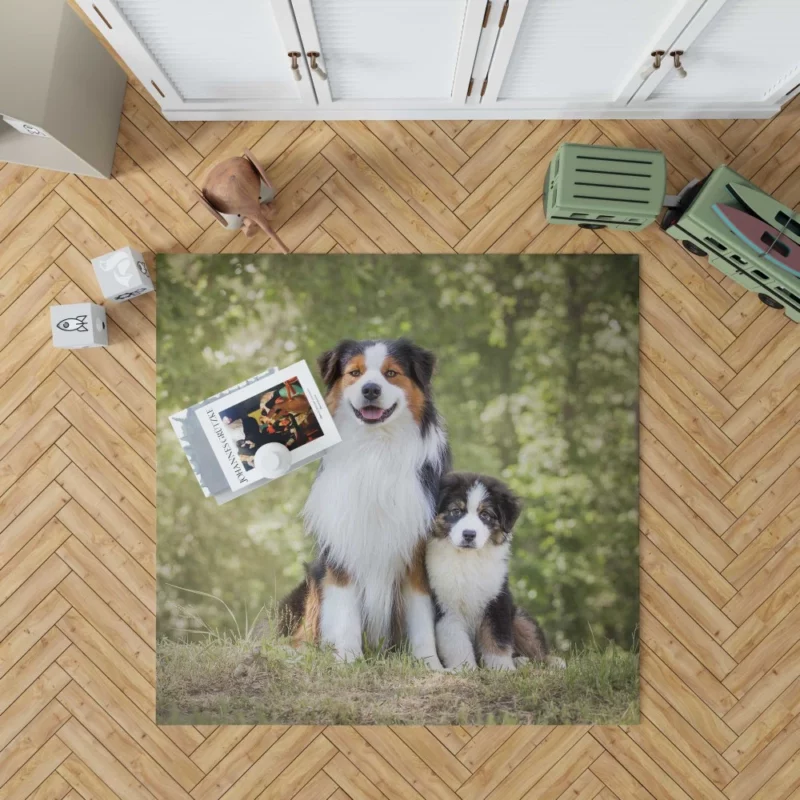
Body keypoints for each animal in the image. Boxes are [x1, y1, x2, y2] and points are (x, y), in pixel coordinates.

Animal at [280, 340, 450, 668]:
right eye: (355, 373)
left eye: (391, 373)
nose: (370, 389)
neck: (375, 448)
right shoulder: (342, 545)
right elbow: (346, 610)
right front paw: (347, 658)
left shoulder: (415, 550)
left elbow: (421, 617)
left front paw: (429, 665)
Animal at [428, 476, 552, 668]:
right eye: (456, 511)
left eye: (485, 515)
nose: (469, 534)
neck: (468, 559)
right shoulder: (446, 605)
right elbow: (456, 642)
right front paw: (464, 668)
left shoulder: (497, 599)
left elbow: (496, 638)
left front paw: (502, 668)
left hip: (519, 616)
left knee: (536, 645)